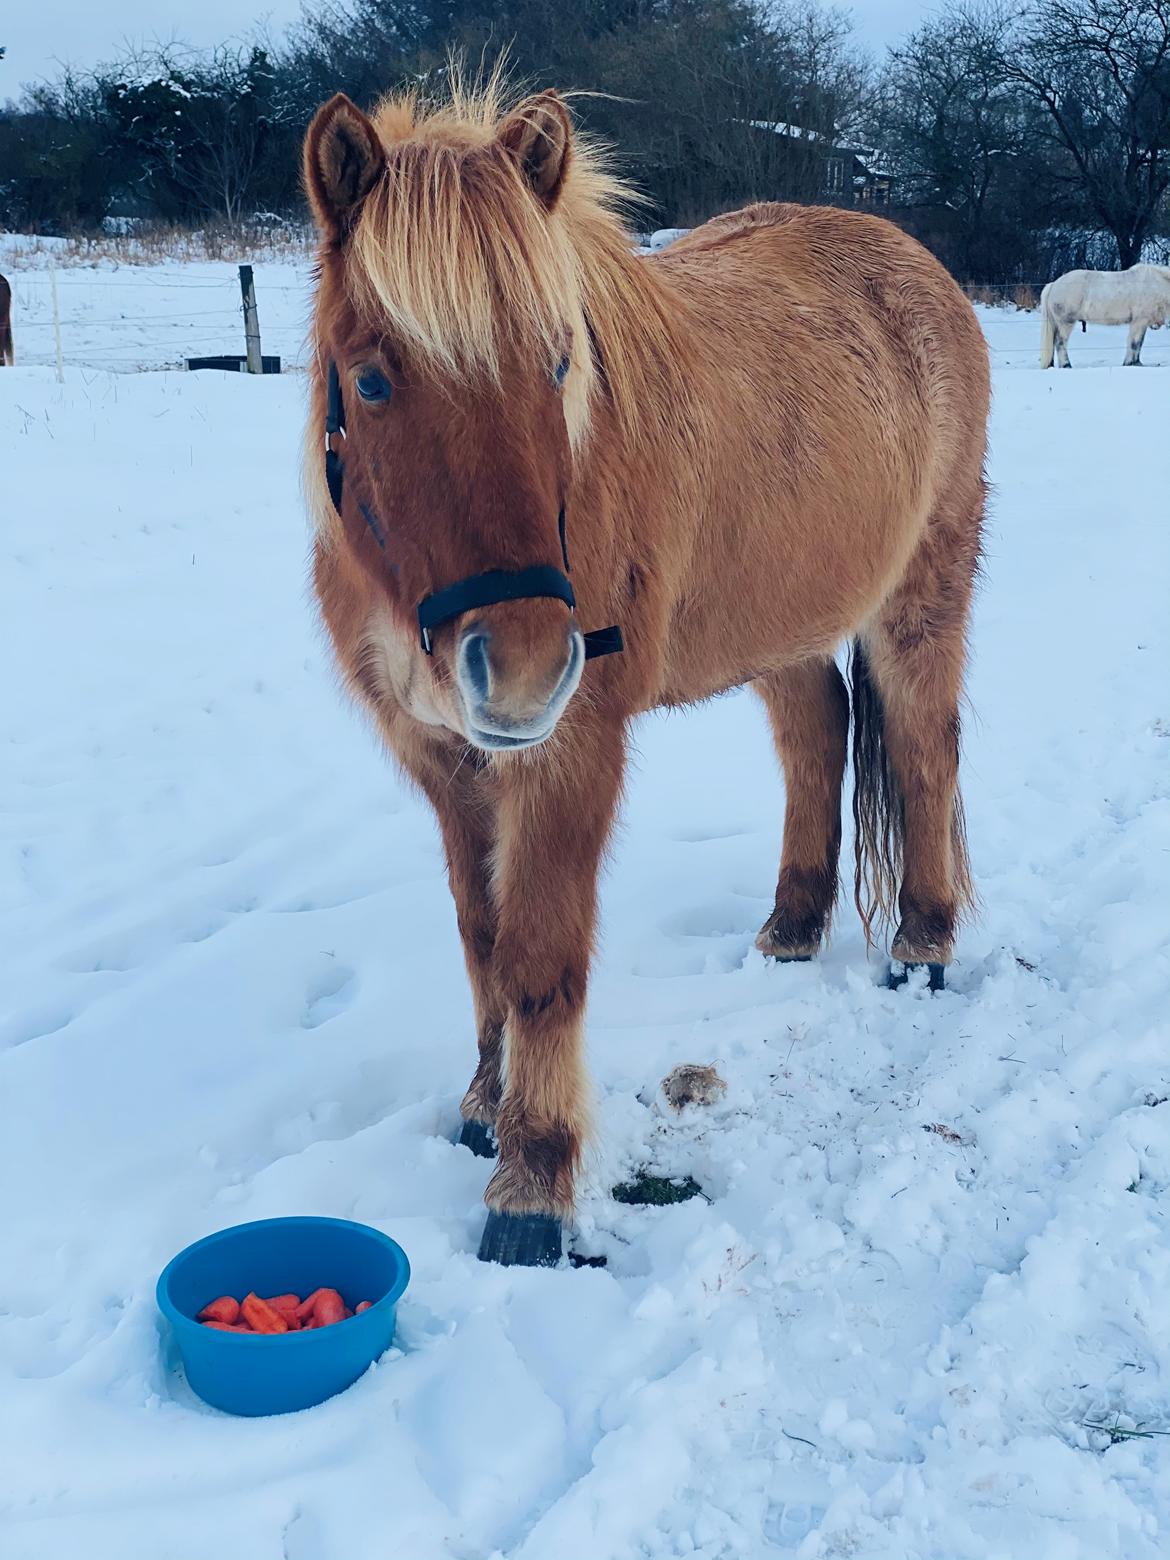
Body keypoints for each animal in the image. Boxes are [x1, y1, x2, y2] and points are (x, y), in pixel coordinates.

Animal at [302, 79, 992, 1260]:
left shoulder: (569, 751)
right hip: (782, 623)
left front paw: (532, 1182)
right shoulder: (447, 759)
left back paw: (923, 944)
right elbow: (482, 938)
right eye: (374, 378)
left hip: (922, 598)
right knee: (817, 733)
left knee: (922, 748)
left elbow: (540, 956)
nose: (526, 667)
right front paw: (483, 1110)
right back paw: (791, 931)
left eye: (559, 361)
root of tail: (919, 267)